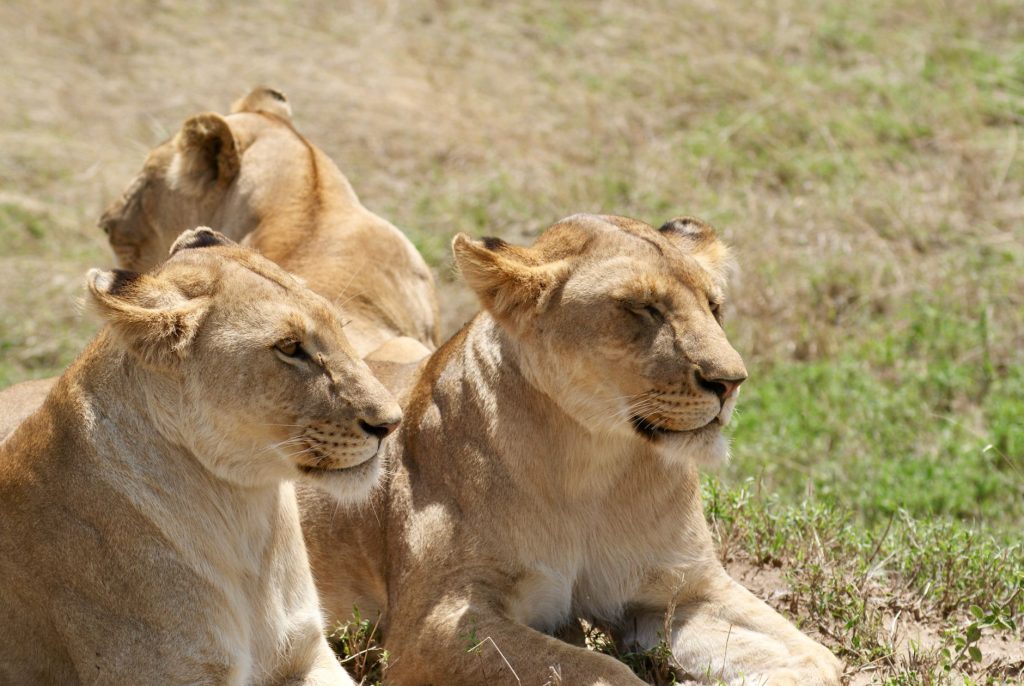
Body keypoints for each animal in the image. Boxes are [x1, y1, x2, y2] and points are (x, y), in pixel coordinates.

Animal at [299, 214, 844, 685]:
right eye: (643, 307)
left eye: (714, 308)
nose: (731, 382)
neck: (592, 466)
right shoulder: (432, 628)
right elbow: (602, 671)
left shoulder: (683, 589)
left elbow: (818, 660)